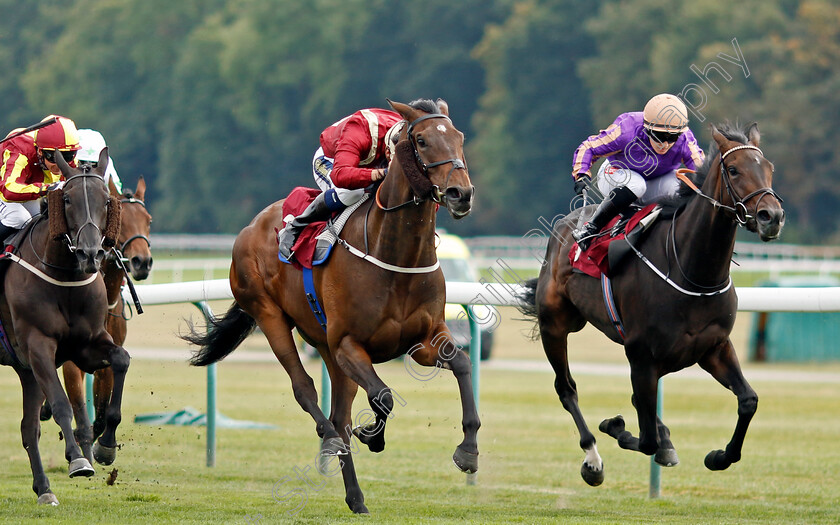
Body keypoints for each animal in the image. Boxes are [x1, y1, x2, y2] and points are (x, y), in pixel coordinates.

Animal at [0, 148, 128, 504]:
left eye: (106, 201)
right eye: (68, 199)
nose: (90, 253)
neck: (64, 277)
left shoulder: (86, 344)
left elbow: (121, 359)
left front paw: (106, 446)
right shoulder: (37, 345)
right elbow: (60, 404)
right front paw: (79, 461)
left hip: (25, 372)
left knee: (28, 428)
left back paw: (44, 489)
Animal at [39, 175, 153, 462]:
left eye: (148, 220)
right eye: (122, 220)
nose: (142, 262)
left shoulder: (108, 355)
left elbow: (101, 411)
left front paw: (103, 446)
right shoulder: (73, 361)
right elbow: (78, 409)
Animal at [185, 98, 480, 512]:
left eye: (459, 137)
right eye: (421, 140)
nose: (460, 194)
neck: (396, 256)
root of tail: (250, 227)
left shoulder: (421, 340)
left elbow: (462, 364)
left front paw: (468, 451)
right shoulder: (349, 345)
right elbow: (383, 395)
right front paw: (373, 435)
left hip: (324, 345)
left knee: (339, 414)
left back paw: (356, 497)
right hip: (271, 315)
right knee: (307, 392)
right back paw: (332, 440)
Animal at [520, 123, 784, 488]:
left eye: (769, 168)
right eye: (734, 169)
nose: (772, 216)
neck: (692, 271)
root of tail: (568, 223)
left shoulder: (713, 347)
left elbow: (748, 401)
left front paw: (719, 456)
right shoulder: (642, 354)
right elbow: (646, 440)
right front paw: (616, 426)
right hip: (556, 325)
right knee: (567, 388)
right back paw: (592, 459)